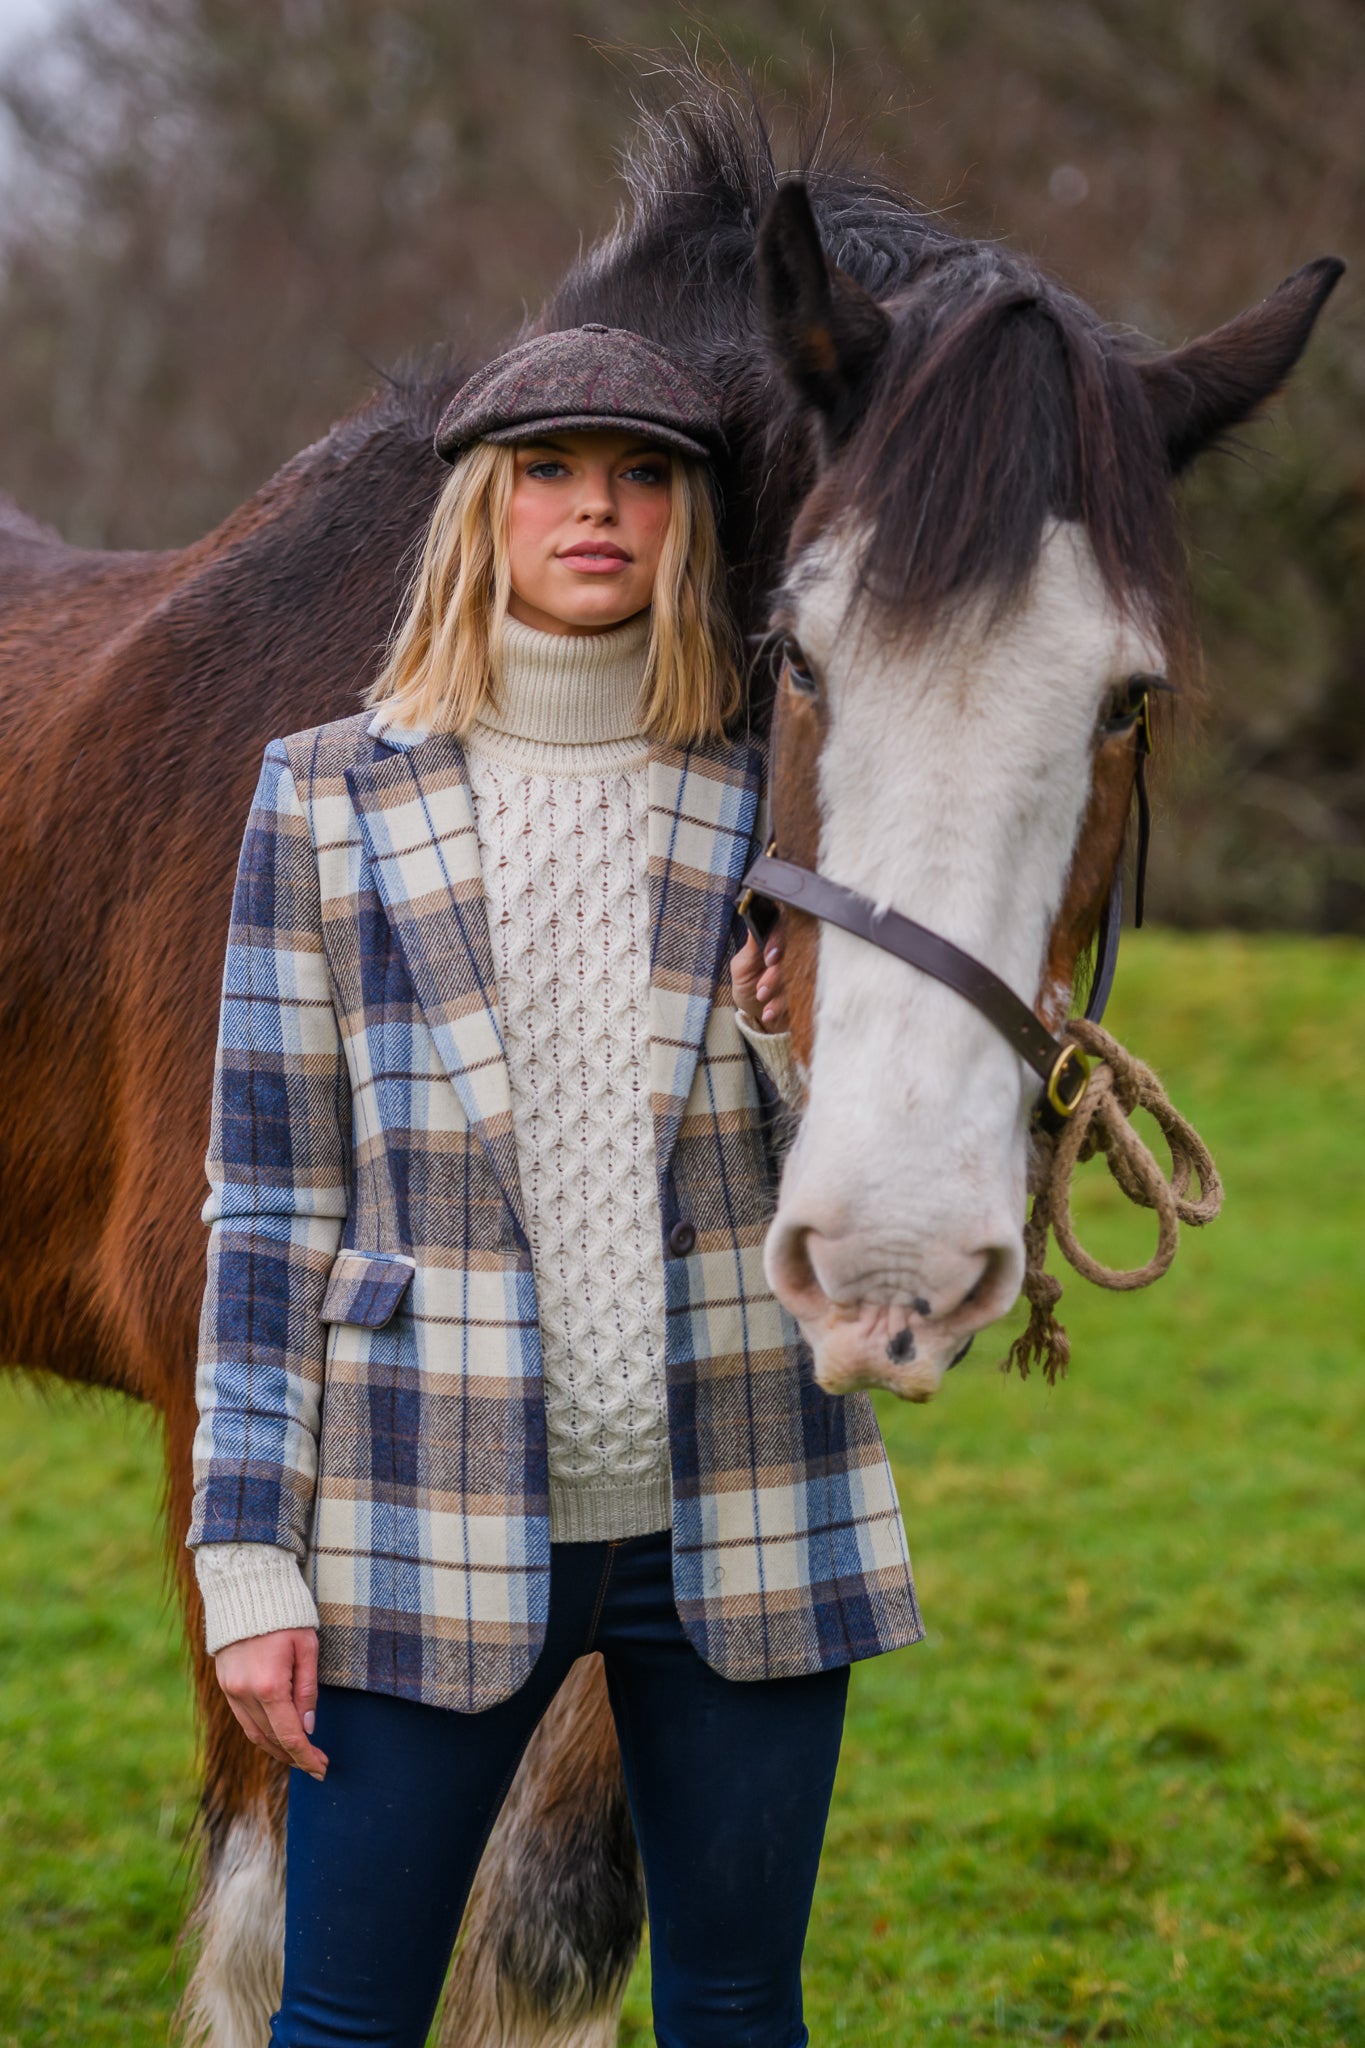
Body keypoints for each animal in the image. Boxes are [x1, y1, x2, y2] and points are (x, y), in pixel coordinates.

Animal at [0, 51, 1342, 2048]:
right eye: (794, 651)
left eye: (1130, 698)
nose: (891, 1255)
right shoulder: (246, 1466)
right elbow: (270, 1941)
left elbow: (547, 1930)